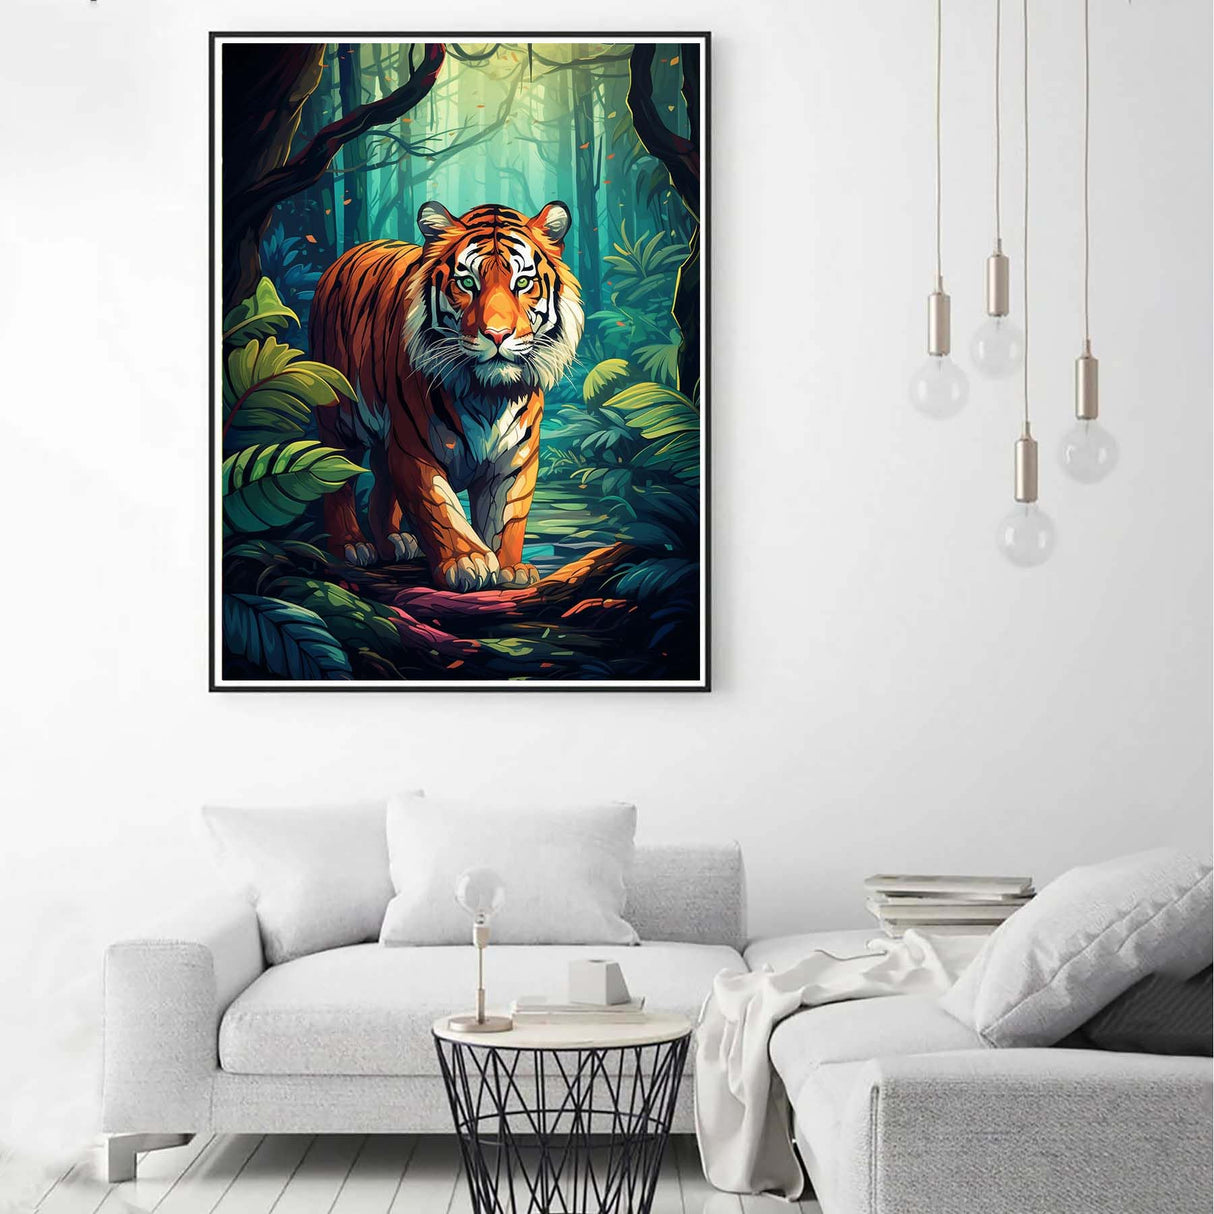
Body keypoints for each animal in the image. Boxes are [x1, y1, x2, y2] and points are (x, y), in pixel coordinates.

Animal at [308, 200, 583, 591]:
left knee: (381, 484)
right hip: (340, 419)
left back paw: (395, 541)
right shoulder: (415, 450)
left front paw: (510, 567)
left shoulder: (517, 456)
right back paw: (351, 545)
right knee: (338, 479)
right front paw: (468, 561)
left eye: (523, 283)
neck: (488, 395)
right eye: (467, 282)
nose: (497, 335)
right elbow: (440, 509)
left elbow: (508, 515)